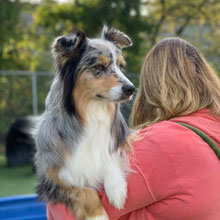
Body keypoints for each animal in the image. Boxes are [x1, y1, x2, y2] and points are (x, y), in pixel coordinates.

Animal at [33, 26, 135, 220]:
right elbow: (83, 192)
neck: (92, 112)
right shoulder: (52, 181)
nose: (131, 89)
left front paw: (117, 189)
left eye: (121, 66)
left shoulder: (120, 139)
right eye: (99, 67)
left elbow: (110, 154)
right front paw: (98, 215)